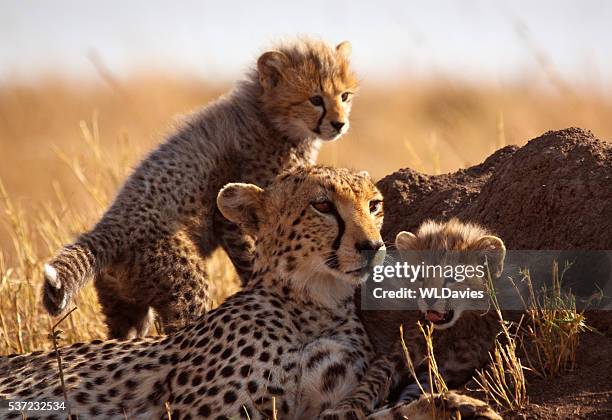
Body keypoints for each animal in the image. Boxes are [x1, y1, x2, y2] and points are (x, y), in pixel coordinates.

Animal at [0, 168, 498, 420]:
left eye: (374, 205)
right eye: (322, 205)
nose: (373, 246)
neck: (315, 302)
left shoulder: (322, 402)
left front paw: (457, 406)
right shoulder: (209, 414)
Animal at [43, 37, 358, 338]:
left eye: (344, 96)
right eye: (315, 99)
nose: (339, 124)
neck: (268, 116)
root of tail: (109, 225)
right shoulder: (231, 214)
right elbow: (251, 256)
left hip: (126, 308)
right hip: (185, 283)